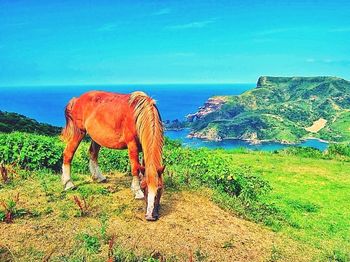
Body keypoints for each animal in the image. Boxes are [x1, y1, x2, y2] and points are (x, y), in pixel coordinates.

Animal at [60, 91, 165, 220]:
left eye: (159, 188)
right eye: (144, 187)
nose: (150, 216)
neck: (138, 115)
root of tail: (77, 99)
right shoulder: (132, 145)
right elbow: (135, 167)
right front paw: (137, 191)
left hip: (96, 136)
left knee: (93, 153)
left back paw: (98, 177)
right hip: (79, 132)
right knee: (68, 154)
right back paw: (68, 184)